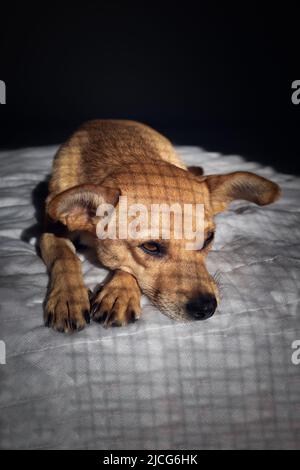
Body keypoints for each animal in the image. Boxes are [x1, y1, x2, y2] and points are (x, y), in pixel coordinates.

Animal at [40, 121, 282, 334]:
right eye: (151, 247)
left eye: (208, 239)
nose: (206, 308)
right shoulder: (49, 231)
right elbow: (64, 256)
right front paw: (68, 297)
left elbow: (126, 267)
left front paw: (119, 292)